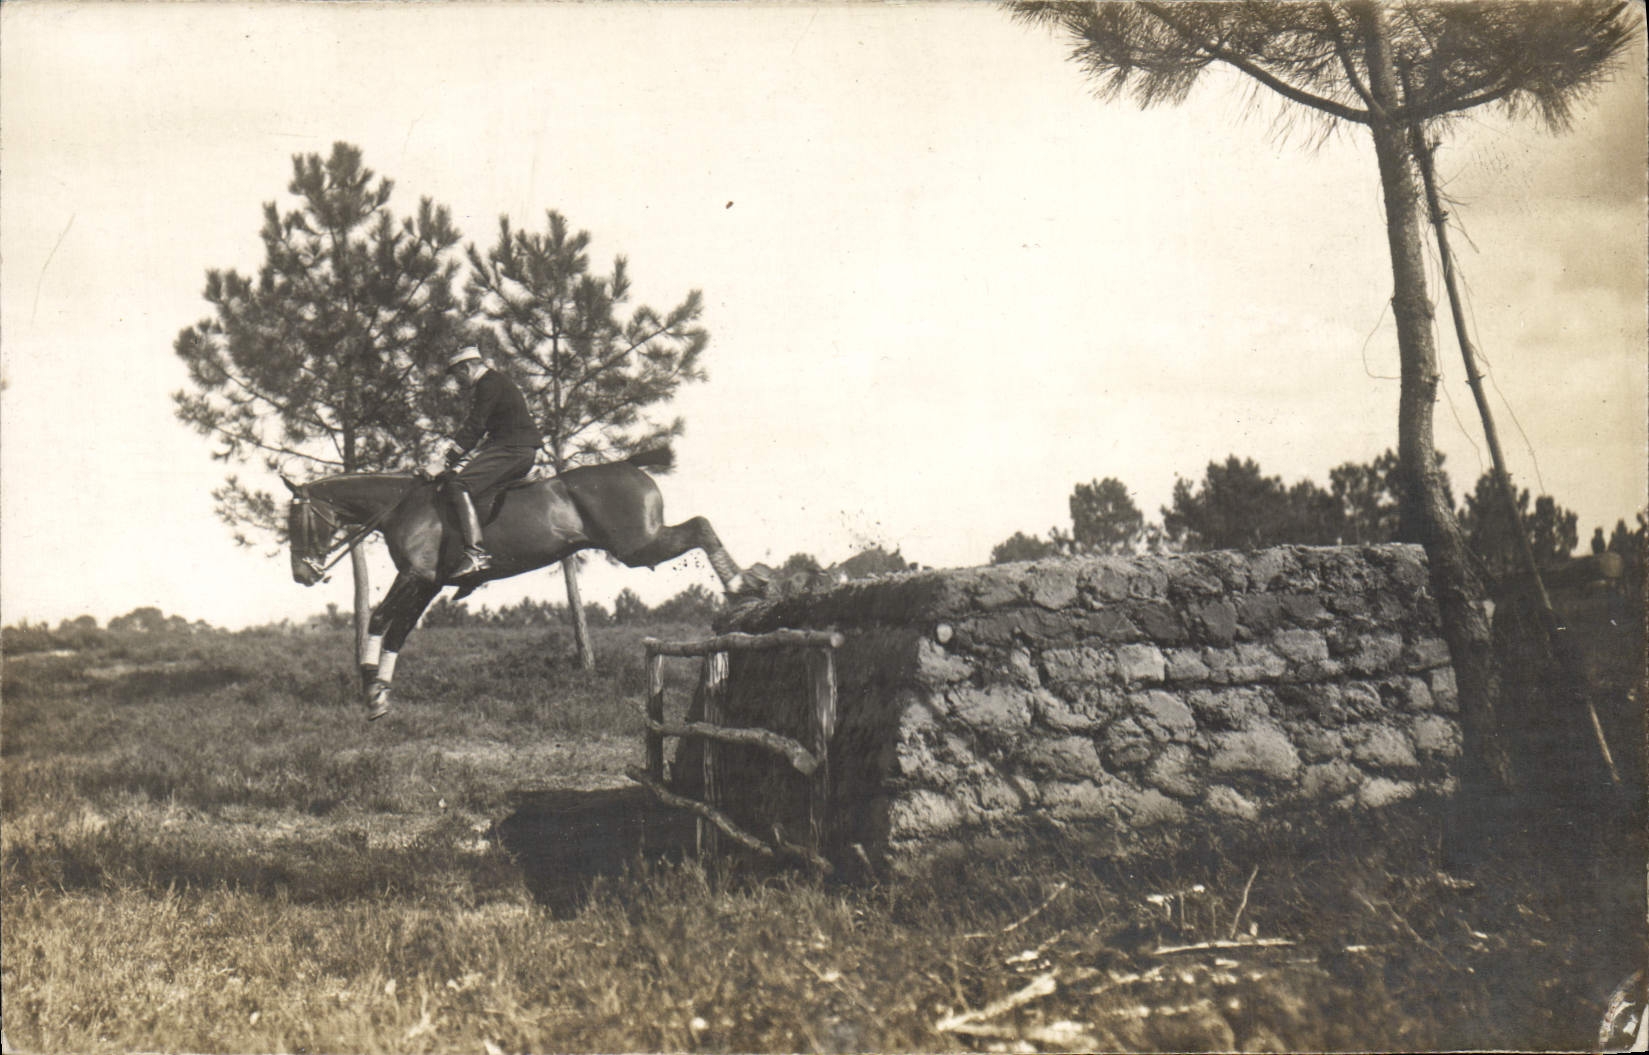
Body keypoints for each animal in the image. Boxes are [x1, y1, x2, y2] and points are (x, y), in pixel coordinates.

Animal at [283, 446, 767, 719]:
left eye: (296, 521)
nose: (302, 576)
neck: (400, 505)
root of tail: (629, 465)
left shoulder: (415, 575)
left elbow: (380, 621)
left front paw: (369, 686)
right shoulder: (427, 583)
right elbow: (398, 631)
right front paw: (380, 695)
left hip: (637, 545)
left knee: (700, 527)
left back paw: (743, 582)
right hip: (638, 545)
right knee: (700, 527)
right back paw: (753, 581)